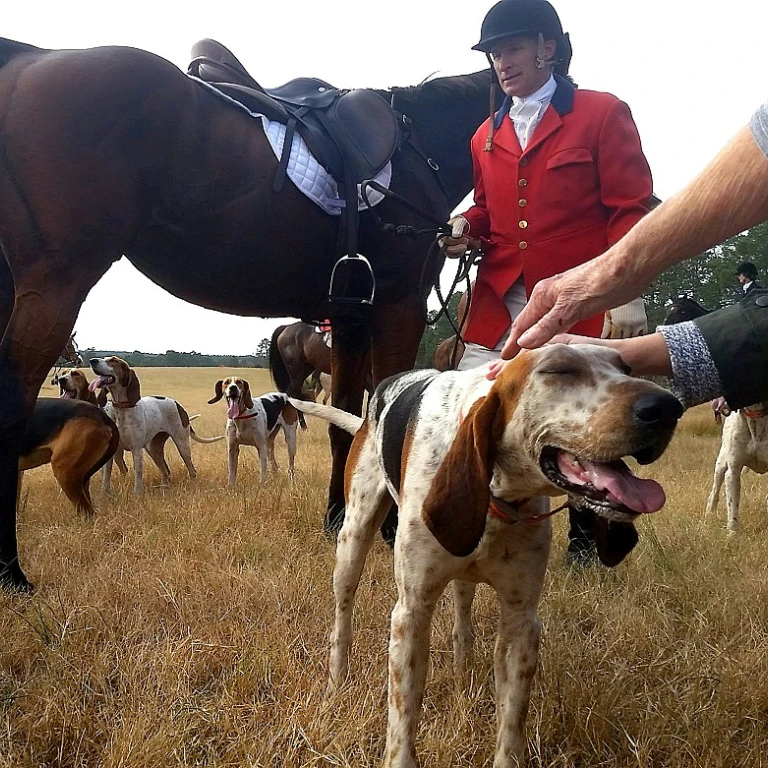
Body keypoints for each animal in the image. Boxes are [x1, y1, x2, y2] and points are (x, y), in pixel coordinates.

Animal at [0, 36, 492, 588]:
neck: (419, 145)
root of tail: (27, 57)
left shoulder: (350, 319)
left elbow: (344, 421)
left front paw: (337, 520)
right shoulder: (397, 307)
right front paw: (387, 533)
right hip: (55, 284)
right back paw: (11, 570)